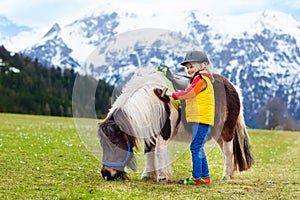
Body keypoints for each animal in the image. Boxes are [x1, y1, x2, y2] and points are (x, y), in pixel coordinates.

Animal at [98, 67, 253, 181]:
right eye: (102, 145)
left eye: (114, 143)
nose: (106, 173)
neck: (153, 101)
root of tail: (233, 88)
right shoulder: (150, 132)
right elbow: (149, 151)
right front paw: (148, 175)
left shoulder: (163, 134)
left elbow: (159, 152)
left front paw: (162, 177)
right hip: (218, 134)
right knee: (228, 152)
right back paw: (230, 174)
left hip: (227, 130)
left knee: (228, 151)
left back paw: (226, 176)